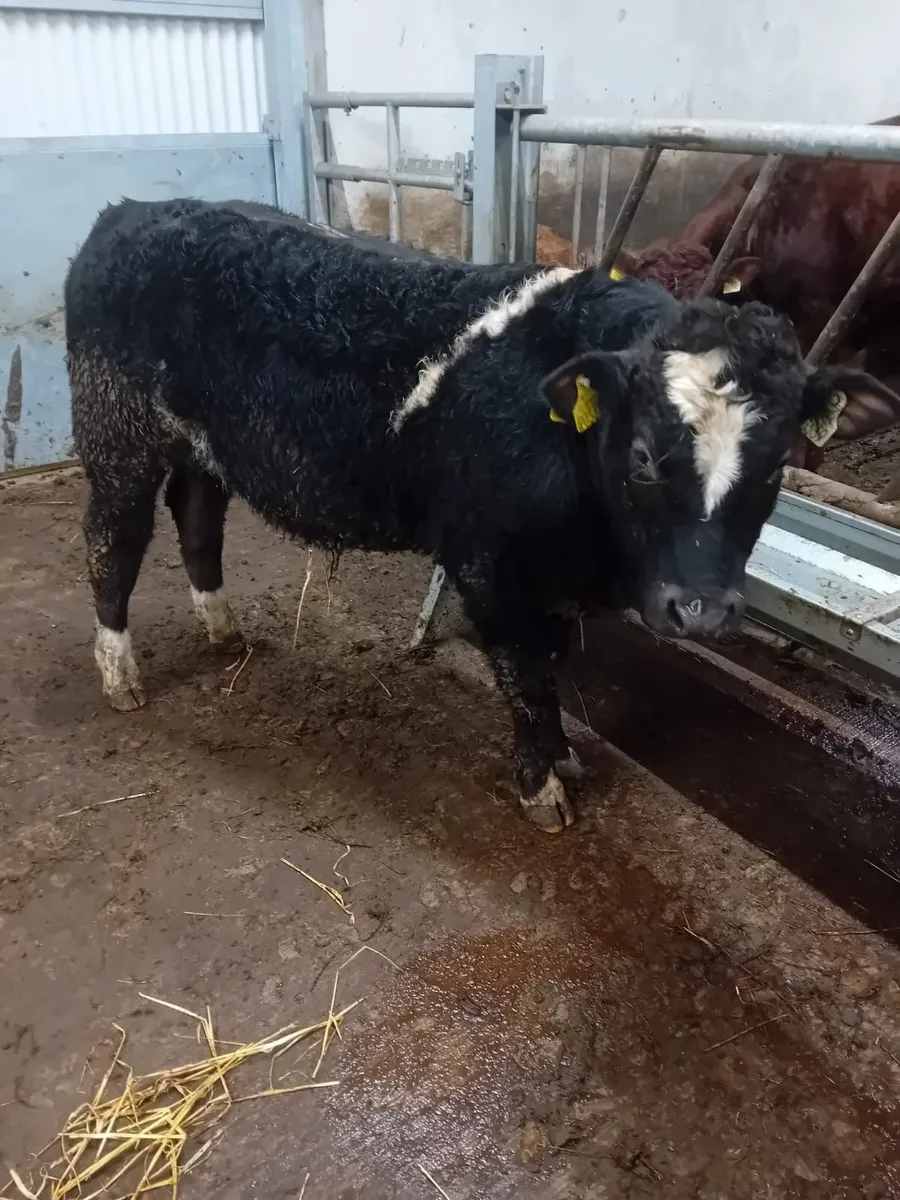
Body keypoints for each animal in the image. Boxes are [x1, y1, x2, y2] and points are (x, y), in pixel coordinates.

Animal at [66, 197, 900, 833]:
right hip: (116, 429)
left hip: (200, 445)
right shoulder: (489, 563)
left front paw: (562, 756)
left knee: (197, 519)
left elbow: (555, 667)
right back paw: (118, 673)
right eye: (640, 455)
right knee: (115, 540)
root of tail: (134, 210)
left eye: (778, 466)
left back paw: (222, 630)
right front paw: (542, 786)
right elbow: (526, 676)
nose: (701, 610)